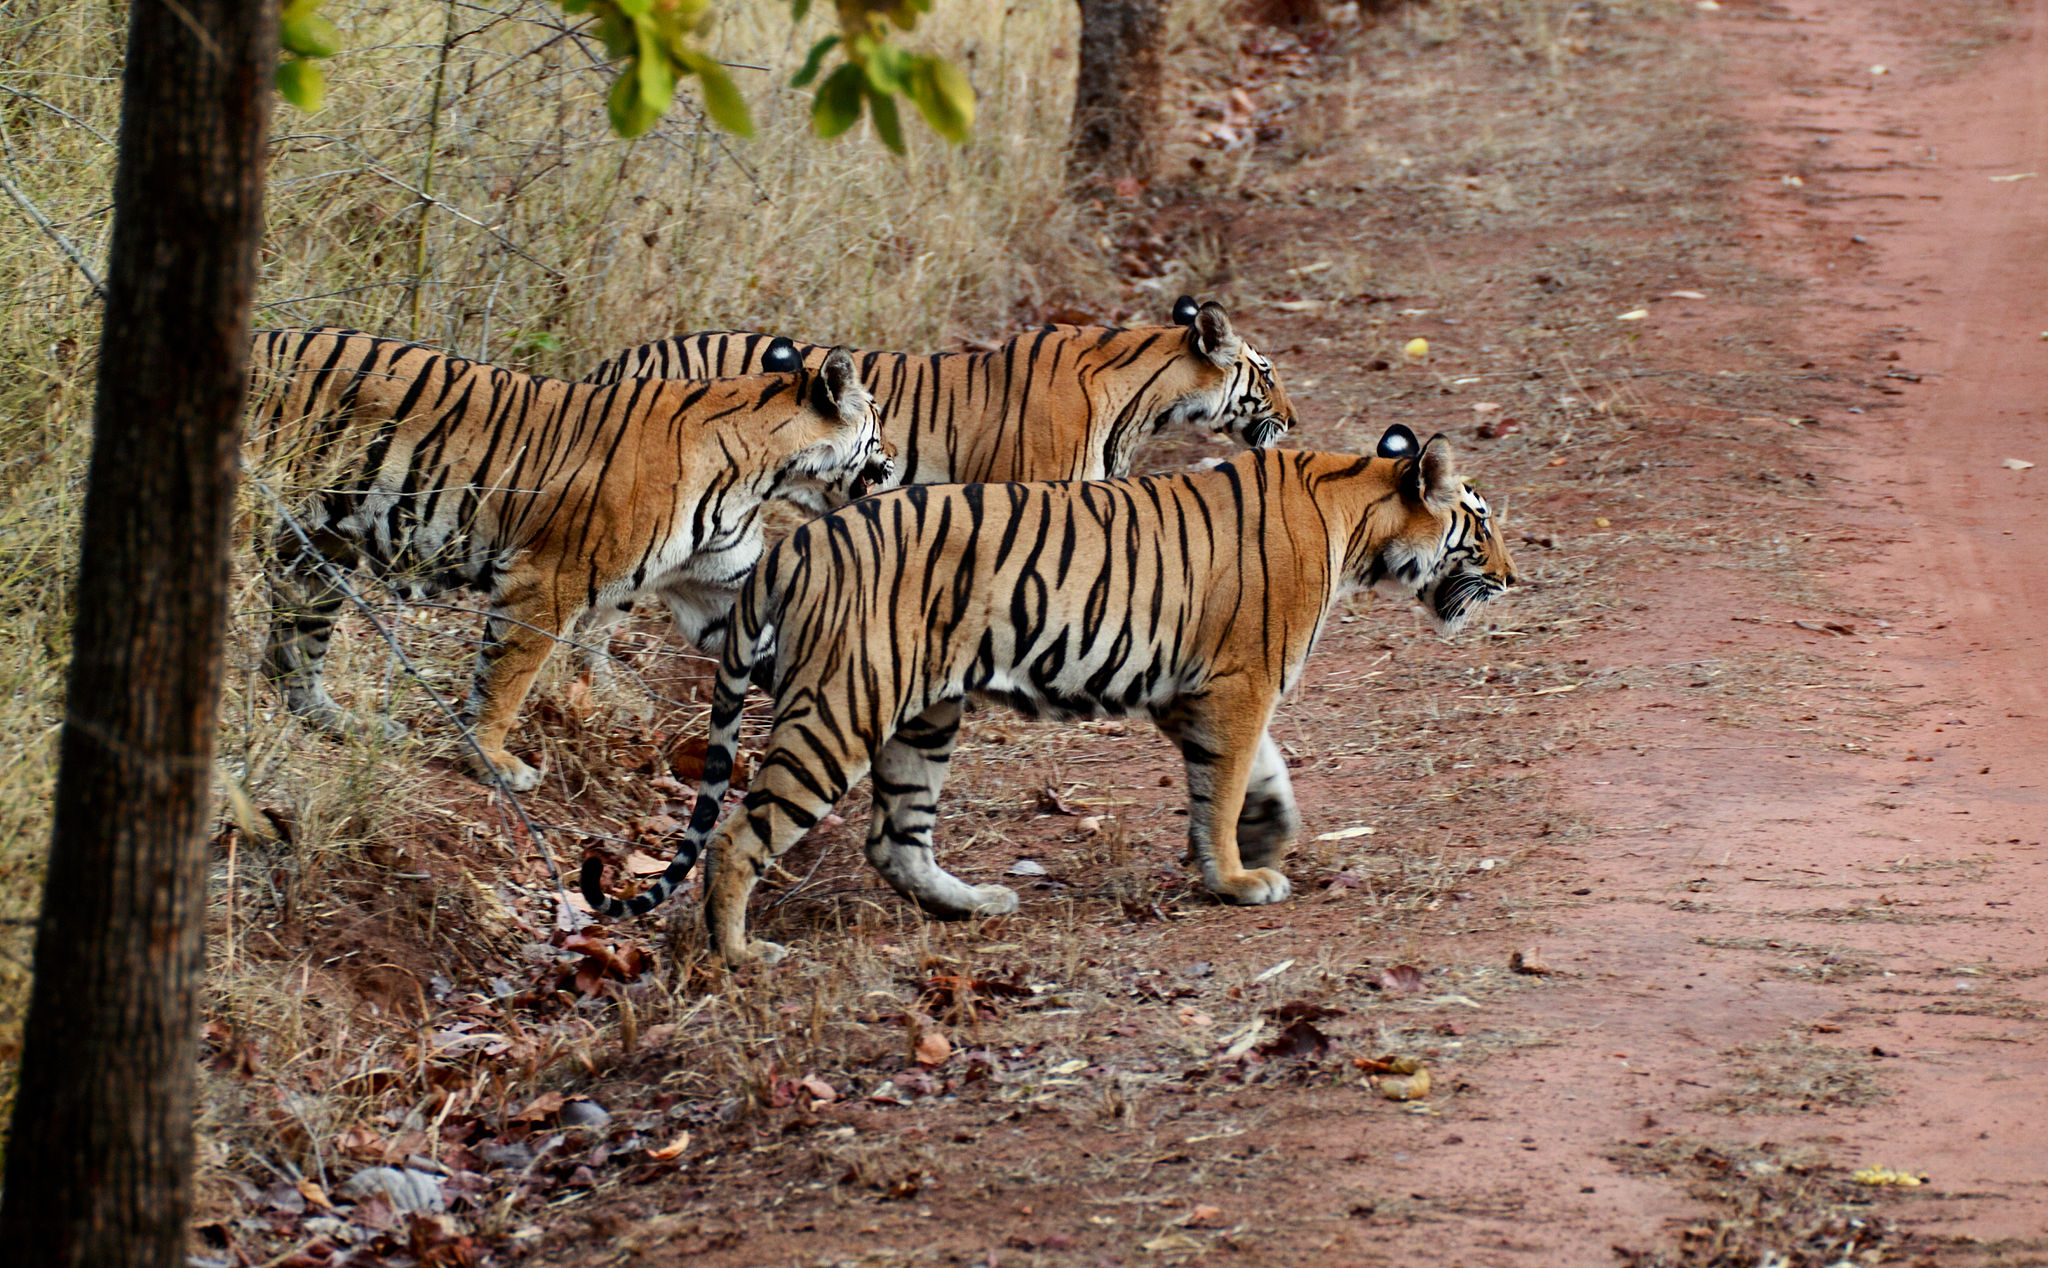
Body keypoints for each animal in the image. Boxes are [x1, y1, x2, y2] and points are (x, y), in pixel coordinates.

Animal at [239, 327, 888, 794]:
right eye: (879, 422)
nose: (895, 467)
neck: (763, 473)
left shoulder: (719, 591)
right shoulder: (546, 581)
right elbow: (507, 679)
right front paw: (493, 761)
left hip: (320, 552)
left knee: (292, 658)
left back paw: (346, 722)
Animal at [581, 421, 1523, 966]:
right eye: (1479, 525)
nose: (1516, 579)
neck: (1355, 516)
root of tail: (798, 544)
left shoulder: (1196, 691)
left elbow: (1255, 774)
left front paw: (1265, 837)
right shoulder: (1240, 682)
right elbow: (1225, 784)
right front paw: (1235, 877)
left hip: (924, 715)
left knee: (894, 840)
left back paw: (974, 904)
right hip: (842, 710)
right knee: (741, 835)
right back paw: (742, 955)